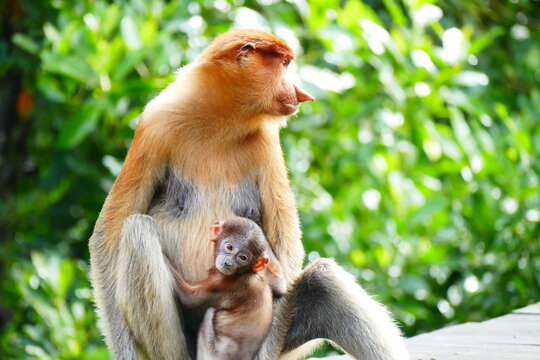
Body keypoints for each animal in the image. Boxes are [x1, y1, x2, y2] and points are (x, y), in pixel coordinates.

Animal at [169, 217, 286, 360]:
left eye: (242, 258)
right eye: (229, 247)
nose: (228, 263)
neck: (245, 273)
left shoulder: (223, 283)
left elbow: (189, 297)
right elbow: (281, 285)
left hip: (214, 352)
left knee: (209, 313)